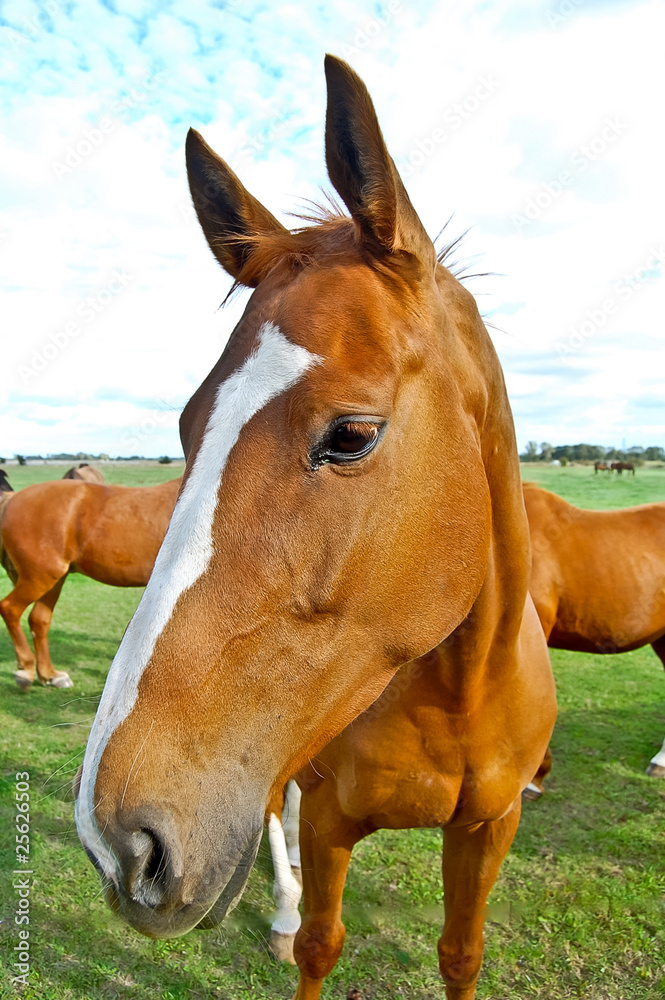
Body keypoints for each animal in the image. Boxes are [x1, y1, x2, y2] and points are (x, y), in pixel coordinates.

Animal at [0, 477, 181, 690]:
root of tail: (11, 499)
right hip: (39, 577)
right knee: (10, 608)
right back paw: (26, 670)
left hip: (53, 580)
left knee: (38, 620)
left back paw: (50, 675)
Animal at [74, 56, 556, 1000]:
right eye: (186, 427)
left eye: (351, 435)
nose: (117, 840)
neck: (458, 690)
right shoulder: (333, 819)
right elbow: (320, 945)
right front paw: (293, 918)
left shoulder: (487, 831)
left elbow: (461, 953)